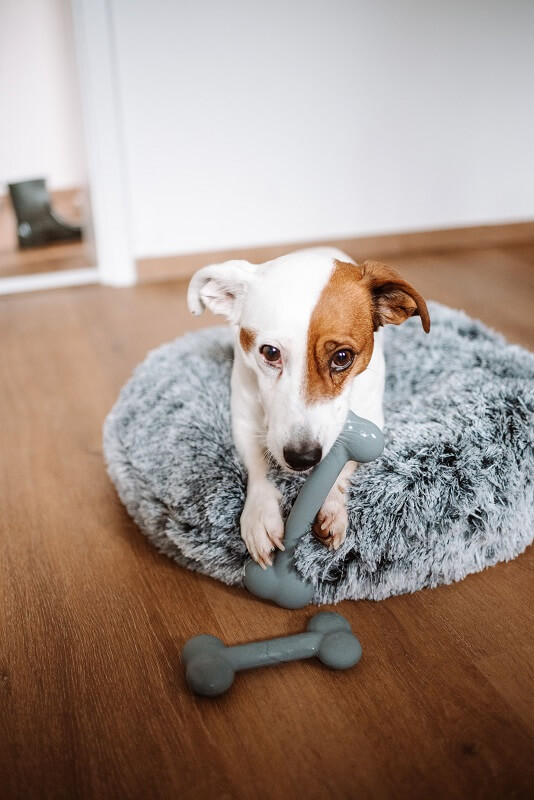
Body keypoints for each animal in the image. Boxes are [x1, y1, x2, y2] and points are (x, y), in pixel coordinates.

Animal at [188, 247, 432, 564]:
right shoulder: (243, 422)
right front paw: (260, 513)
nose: (302, 457)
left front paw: (333, 505)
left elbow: (343, 467)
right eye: (270, 352)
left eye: (342, 357)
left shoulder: (372, 424)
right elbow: (258, 467)